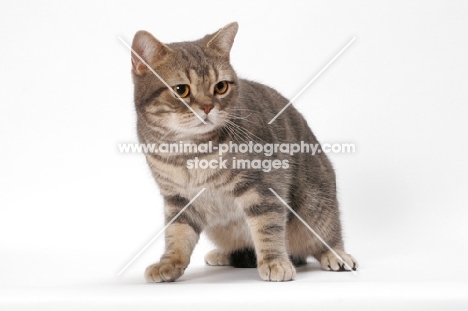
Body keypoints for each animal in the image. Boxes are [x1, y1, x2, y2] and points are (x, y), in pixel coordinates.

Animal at [129, 23, 358, 284]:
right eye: (181, 90)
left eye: (220, 87)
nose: (207, 106)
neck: (189, 152)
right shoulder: (178, 198)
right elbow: (177, 234)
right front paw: (169, 263)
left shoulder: (264, 186)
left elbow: (267, 227)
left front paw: (274, 262)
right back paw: (225, 254)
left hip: (315, 207)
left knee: (325, 237)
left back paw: (335, 254)